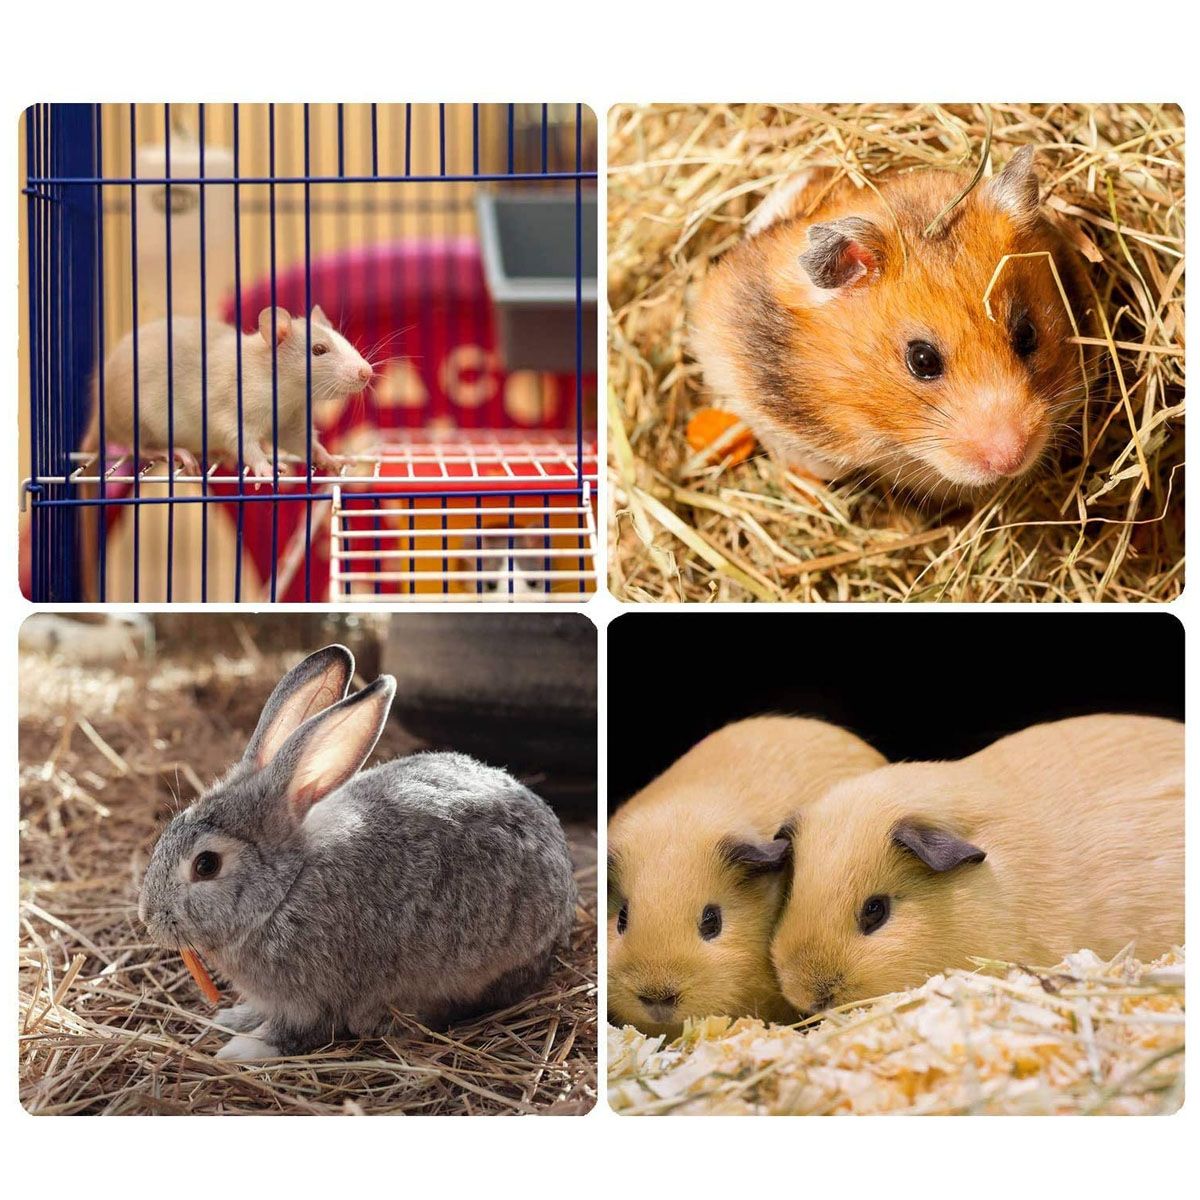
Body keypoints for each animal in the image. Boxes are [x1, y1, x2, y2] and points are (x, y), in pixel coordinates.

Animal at [85, 305, 373, 479]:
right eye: (319, 350)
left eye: (345, 341)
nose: (367, 372)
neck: (288, 394)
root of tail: (101, 414)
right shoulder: (238, 403)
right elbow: (238, 437)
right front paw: (265, 468)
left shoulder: (291, 416)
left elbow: (299, 441)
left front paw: (329, 458)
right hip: (138, 419)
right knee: (142, 449)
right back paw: (176, 452)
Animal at [138, 644, 577, 1060]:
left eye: (206, 864)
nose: (148, 918)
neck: (283, 891)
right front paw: (233, 1017)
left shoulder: (315, 997)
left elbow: (297, 1033)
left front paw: (243, 1049)